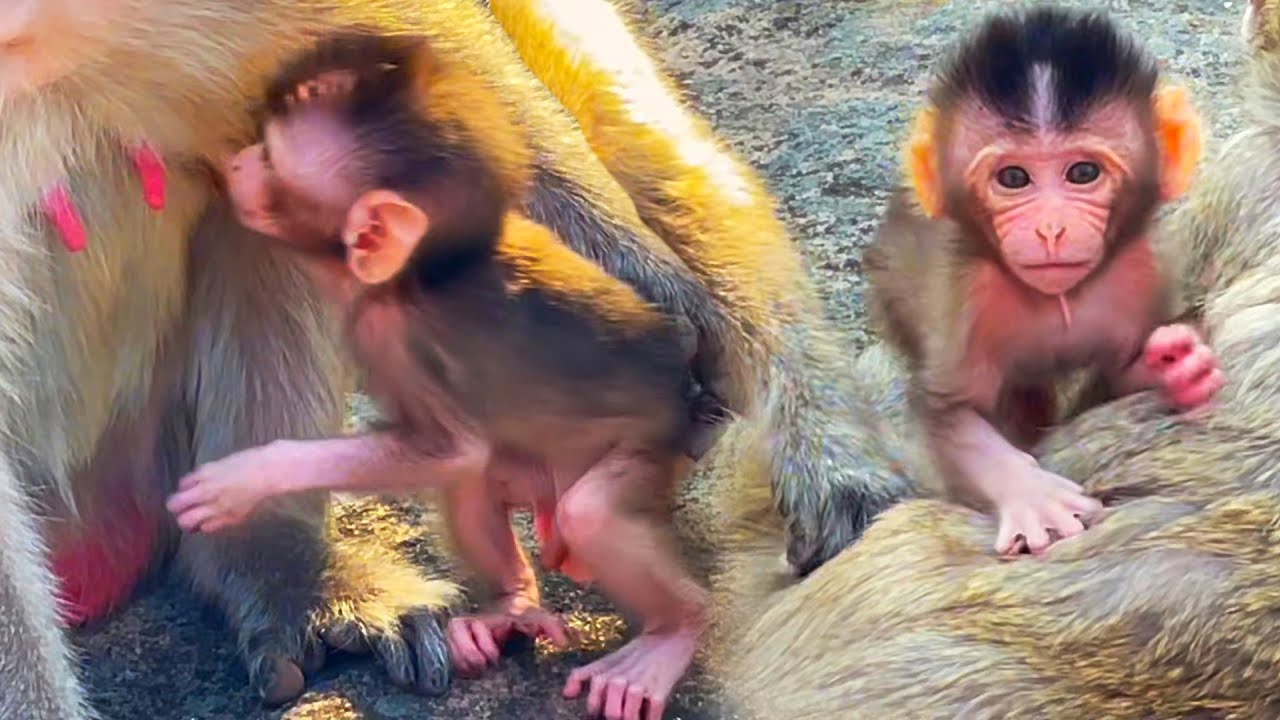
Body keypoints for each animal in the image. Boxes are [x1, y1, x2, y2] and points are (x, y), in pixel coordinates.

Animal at [165, 33, 714, 720]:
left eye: (267, 153)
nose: (236, 161)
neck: (417, 274)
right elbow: (454, 462)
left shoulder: (399, 334)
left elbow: (450, 450)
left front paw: (248, 476)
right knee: (477, 485)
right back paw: (511, 606)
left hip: (648, 450)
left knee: (587, 510)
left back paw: (672, 633)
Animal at [863, 5, 1224, 557]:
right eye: (1014, 178)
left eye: (1082, 173)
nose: (1050, 229)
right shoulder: (965, 299)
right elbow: (951, 415)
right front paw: (1030, 492)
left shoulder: (1144, 273)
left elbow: (1118, 375)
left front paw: (1173, 367)